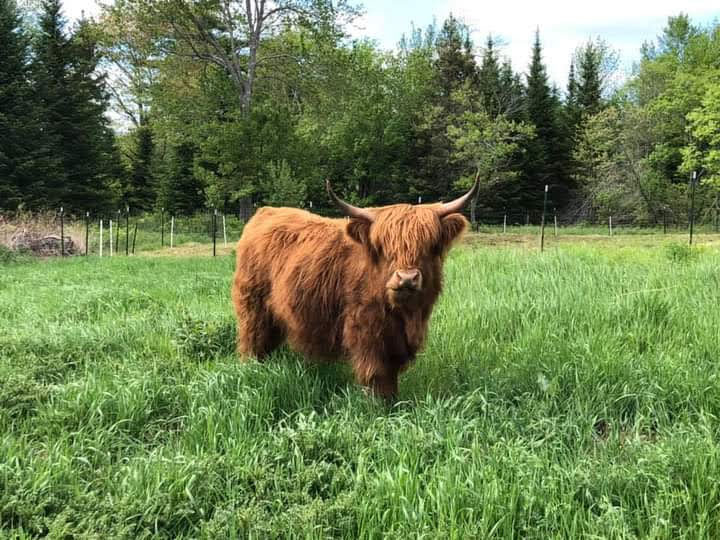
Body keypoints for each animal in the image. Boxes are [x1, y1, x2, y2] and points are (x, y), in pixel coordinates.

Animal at [232, 175, 478, 398]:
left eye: (430, 245)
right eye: (383, 247)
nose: (406, 278)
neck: (404, 314)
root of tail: (265, 212)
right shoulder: (366, 330)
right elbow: (377, 374)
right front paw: (380, 405)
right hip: (252, 305)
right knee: (252, 339)